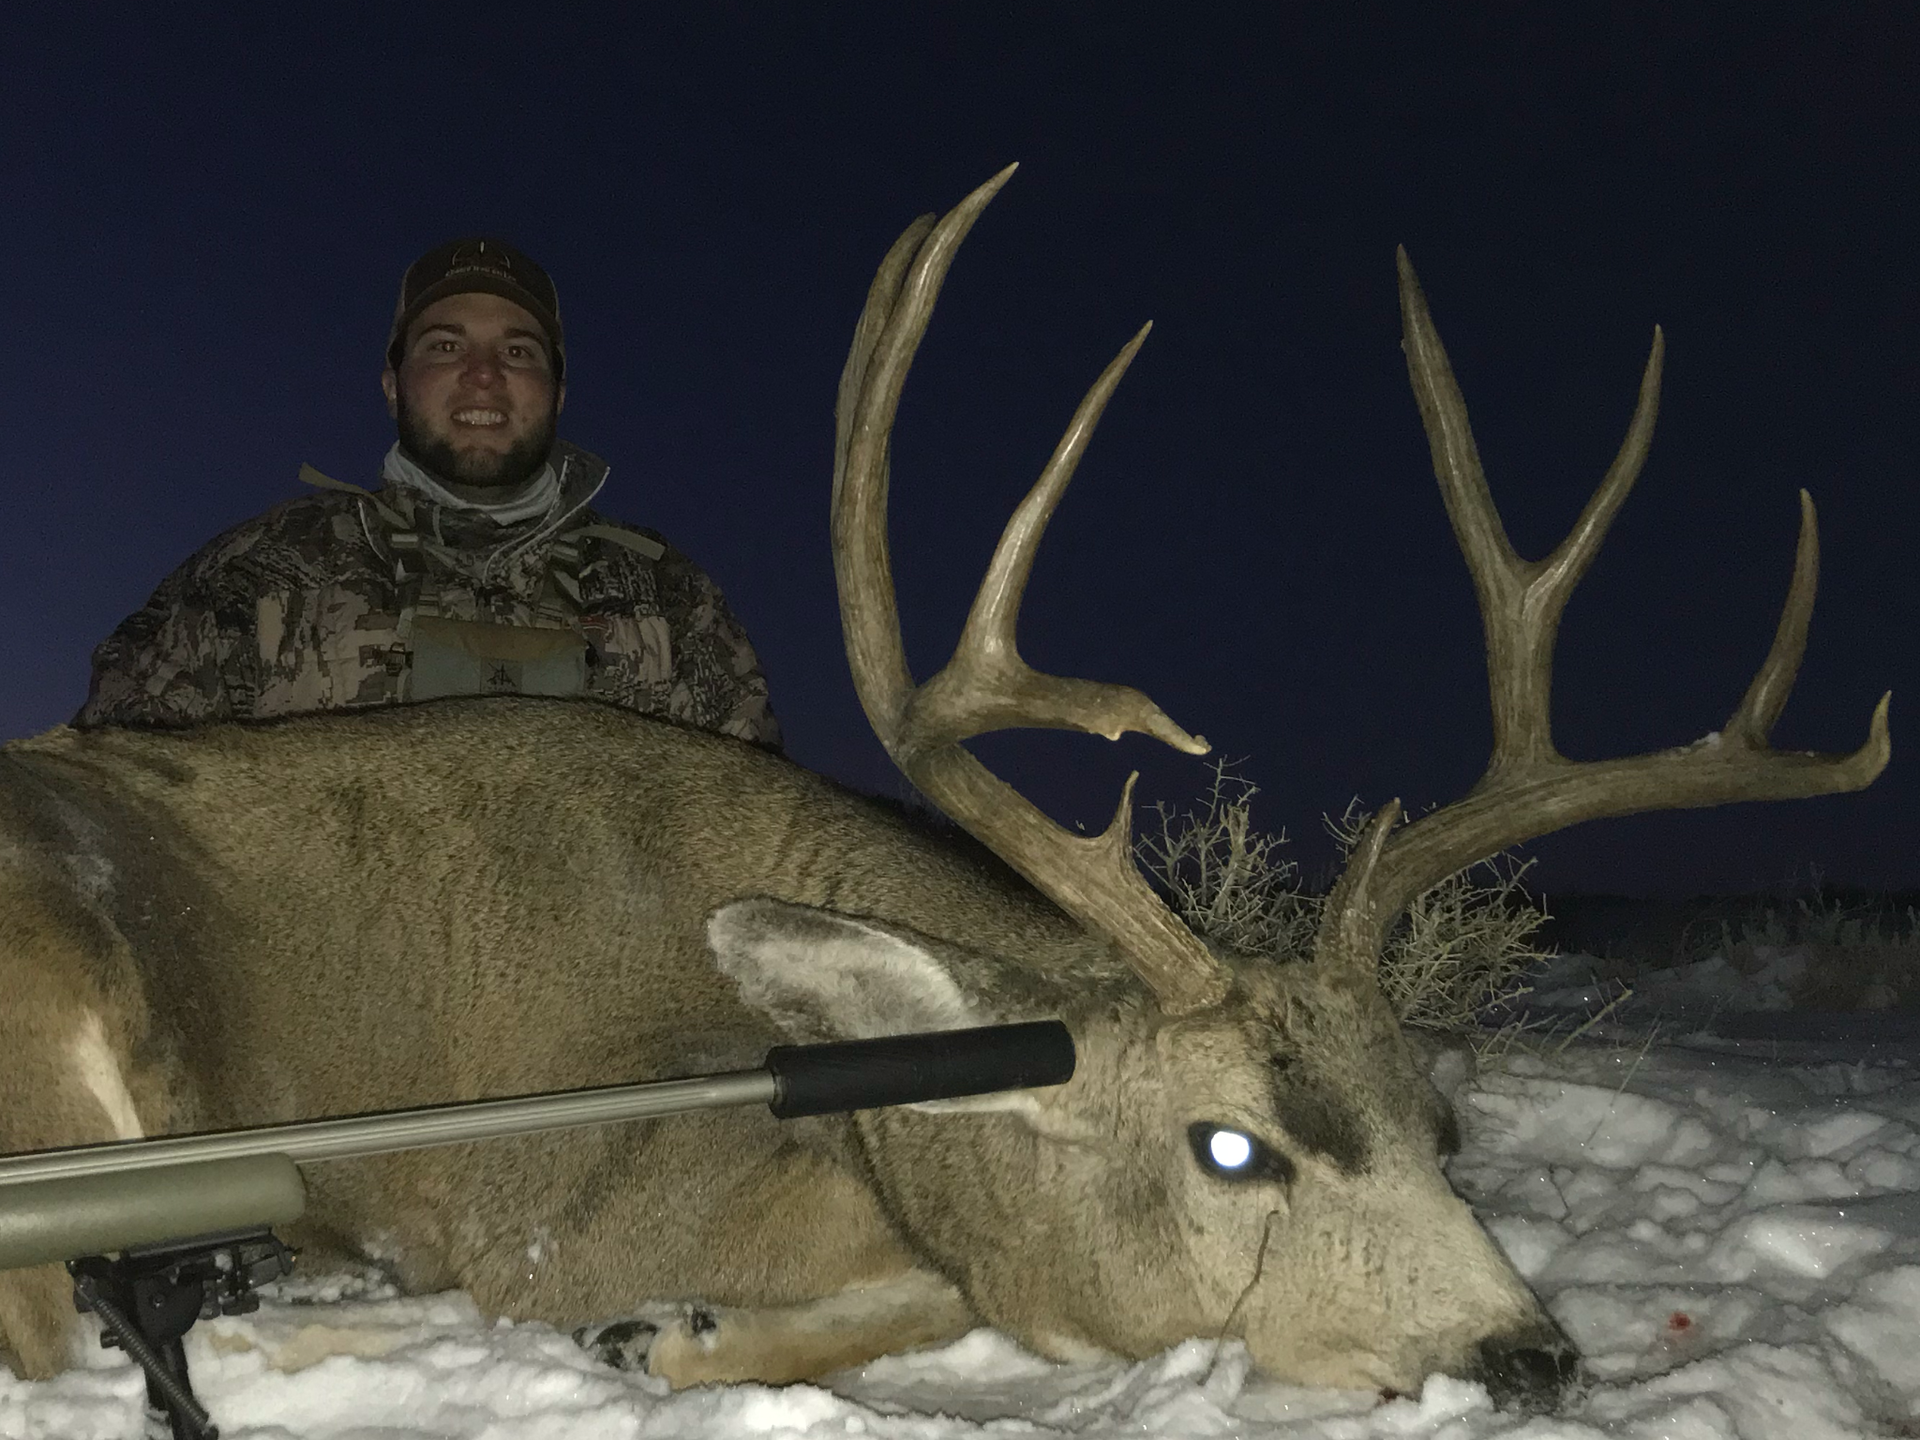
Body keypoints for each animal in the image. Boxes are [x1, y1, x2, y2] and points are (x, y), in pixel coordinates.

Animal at [0, 167, 1888, 1412]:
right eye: (1232, 1146)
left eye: (1447, 1127)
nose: (1531, 1360)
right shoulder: (556, 1224)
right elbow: (916, 1299)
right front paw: (670, 1333)